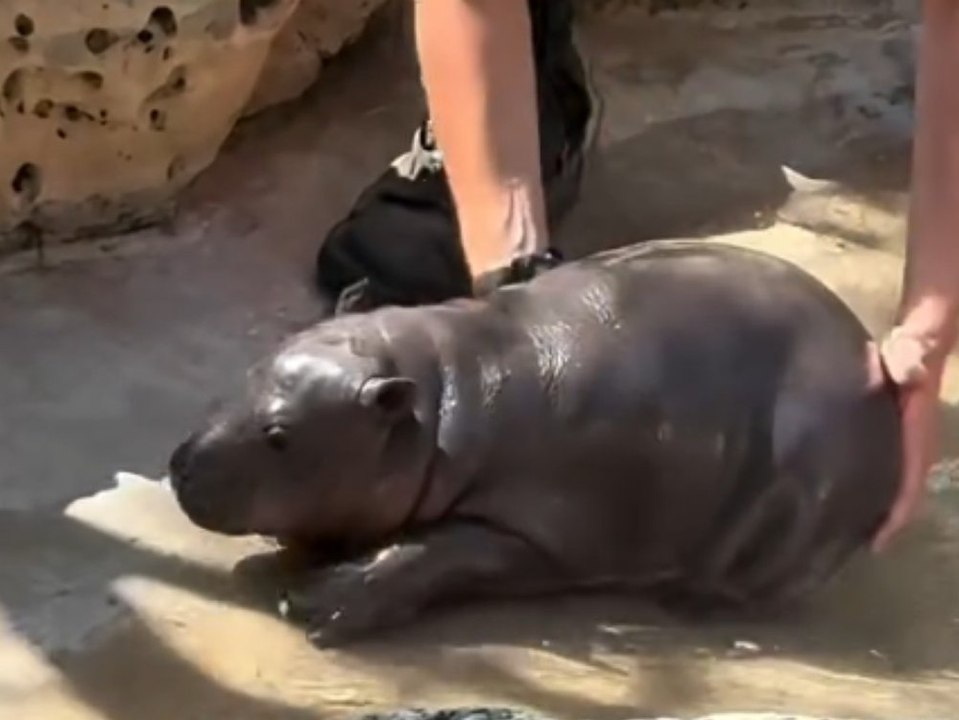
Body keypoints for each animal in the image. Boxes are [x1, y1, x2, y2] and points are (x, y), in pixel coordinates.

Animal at [168, 239, 901, 647]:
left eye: (279, 434)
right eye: (250, 372)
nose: (179, 464)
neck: (439, 400)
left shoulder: (539, 529)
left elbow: (437, 551)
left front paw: (320, 602)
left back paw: (688, 607)